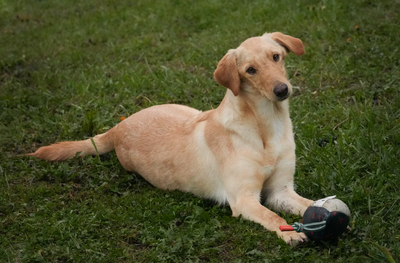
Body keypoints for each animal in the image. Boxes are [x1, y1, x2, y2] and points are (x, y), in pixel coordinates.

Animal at [28, 32, 316, 245]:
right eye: (251, 70)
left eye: (276, 57)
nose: (282, 90)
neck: (266, 125)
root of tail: (119, 127)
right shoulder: (244, 198)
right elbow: (271, 216)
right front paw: (291, 233)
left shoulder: (281, 190)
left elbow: (309, 204)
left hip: (189, 110)